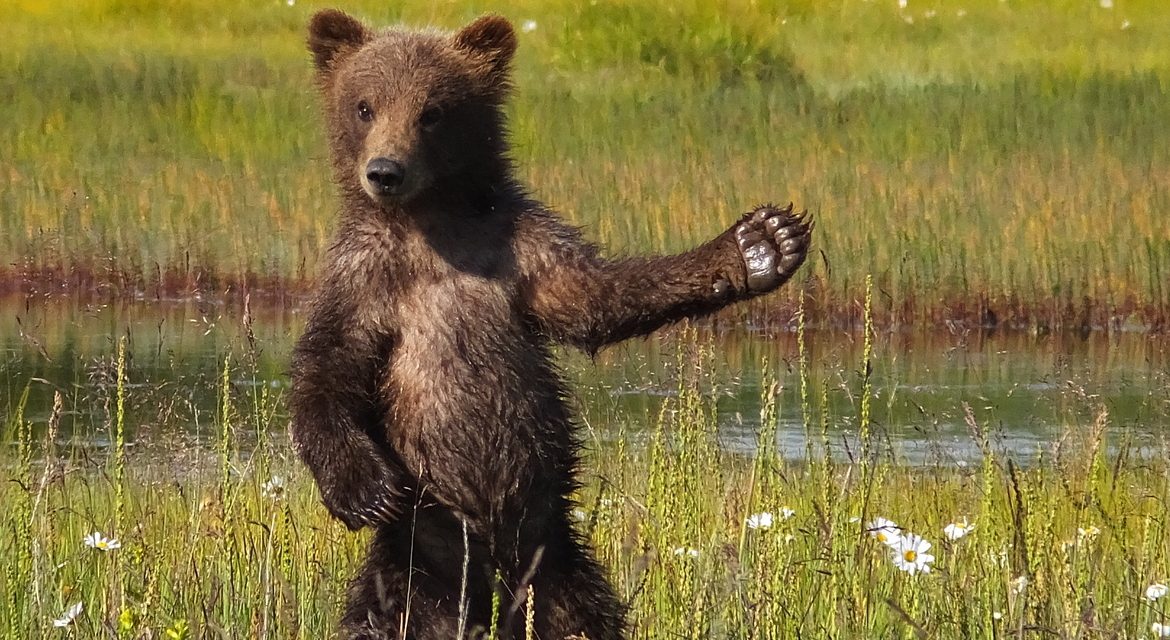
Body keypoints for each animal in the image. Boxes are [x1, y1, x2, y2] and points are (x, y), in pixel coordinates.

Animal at [289, 10, 812, 640]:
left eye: (432, 110)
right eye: (365, 105)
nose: (386, 171)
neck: (429, 226)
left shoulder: (519, 248)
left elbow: (594, 298)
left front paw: (759, 245)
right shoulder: (363, 281)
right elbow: (327, 370)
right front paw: (364, 489)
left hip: (553, 564)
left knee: (583, 618)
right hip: (420, 571)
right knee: (386, 615)